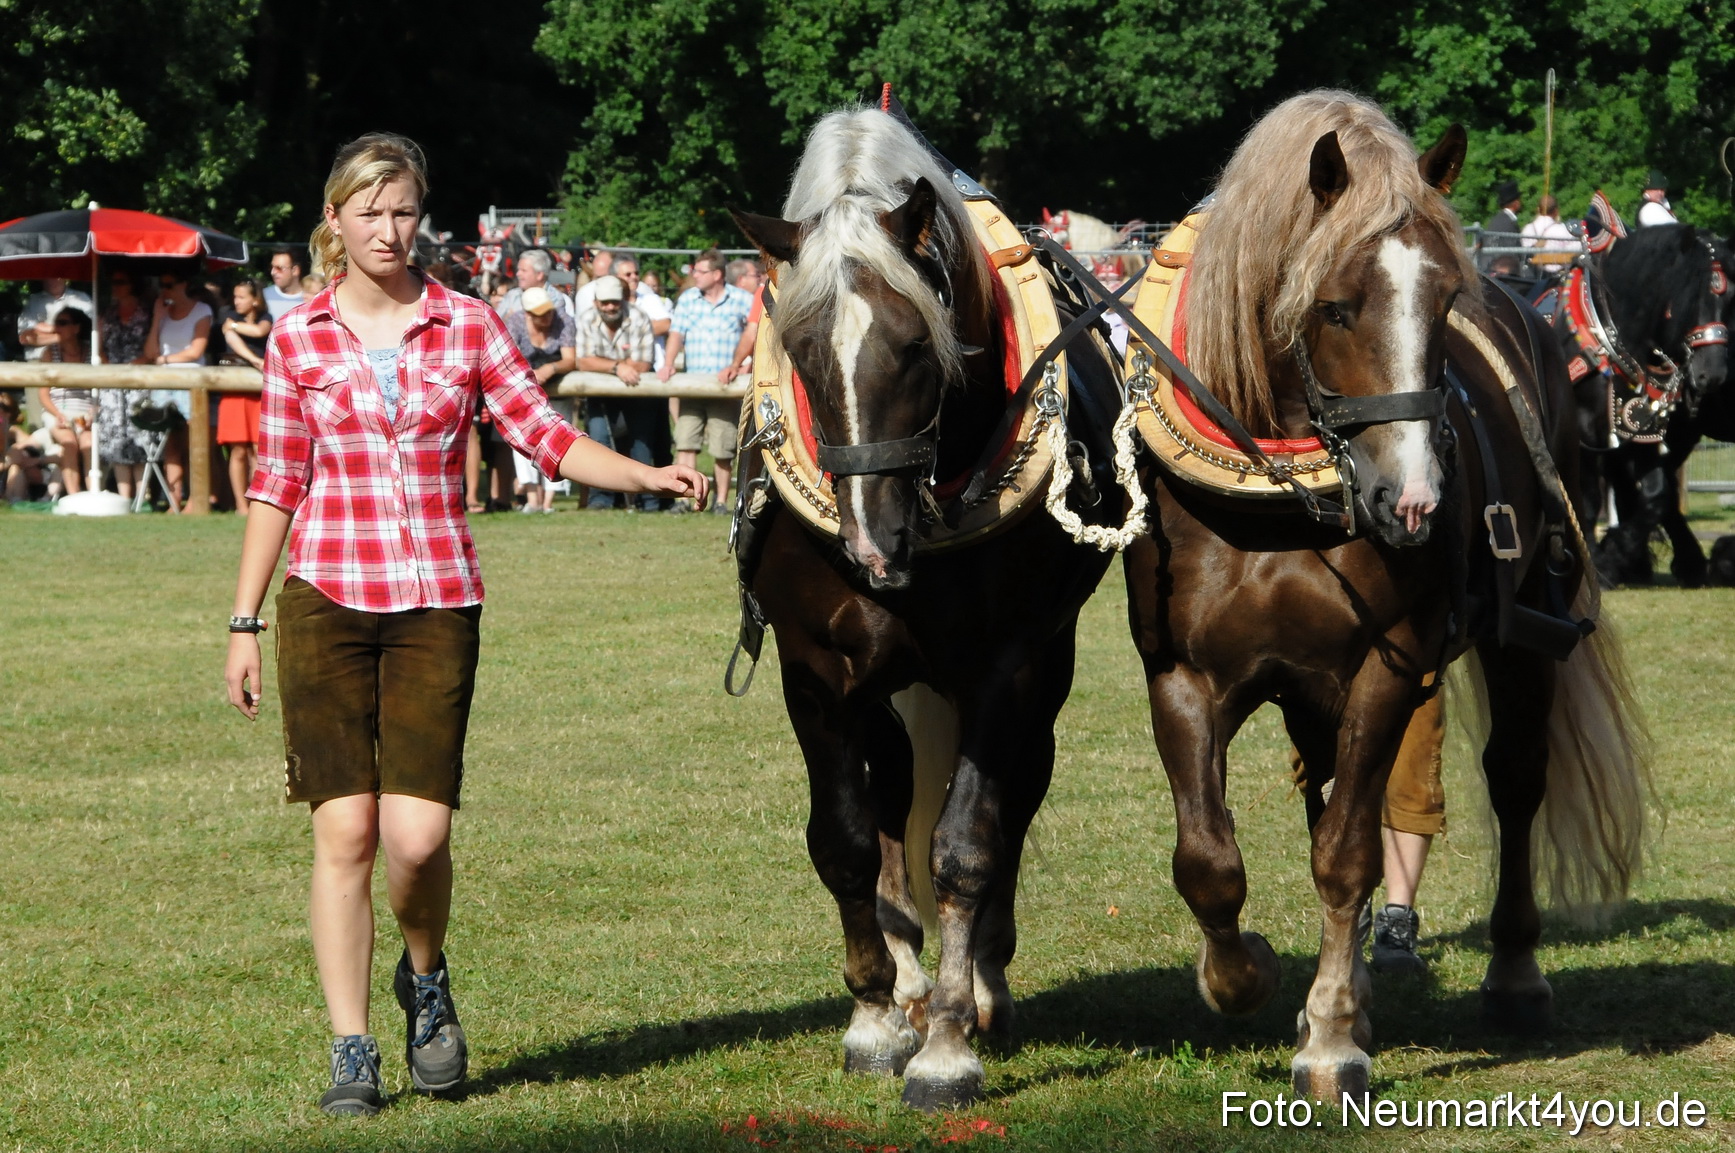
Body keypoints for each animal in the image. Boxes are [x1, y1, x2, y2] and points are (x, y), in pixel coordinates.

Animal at [729, 104, 1134, 1110]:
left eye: (916, 345)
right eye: (801, 352)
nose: (874, 547)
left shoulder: (1005, 668)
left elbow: (966, 846)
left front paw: (949, 1042)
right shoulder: (815, 673)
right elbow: (843, 838)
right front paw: (875, 1018)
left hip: (1040, 678)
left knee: (1012, 801)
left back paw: (980, 979)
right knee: (890, 801)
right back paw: (909, 977)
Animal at [1116, 90, 1650, 1101]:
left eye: (1441, 300)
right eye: (1332, 306)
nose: (1412, 500)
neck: (1279, 501)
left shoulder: (1383, 668)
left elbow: (1346, 852)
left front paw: (1329, 1036)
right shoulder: (1182, 679)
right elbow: (1208, 859)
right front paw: (1245, 974)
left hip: (1524, 633)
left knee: (1513, 779)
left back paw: (1512, 973)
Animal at [1550, 224, 1735, 586]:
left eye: (1731, 299)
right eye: (1690, 295)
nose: (1714, 373)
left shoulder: (1643, 432)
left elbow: (1655, 497)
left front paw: (1614, 555)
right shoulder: (1584, 436)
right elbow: (1588, 501)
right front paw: (1598, 563)